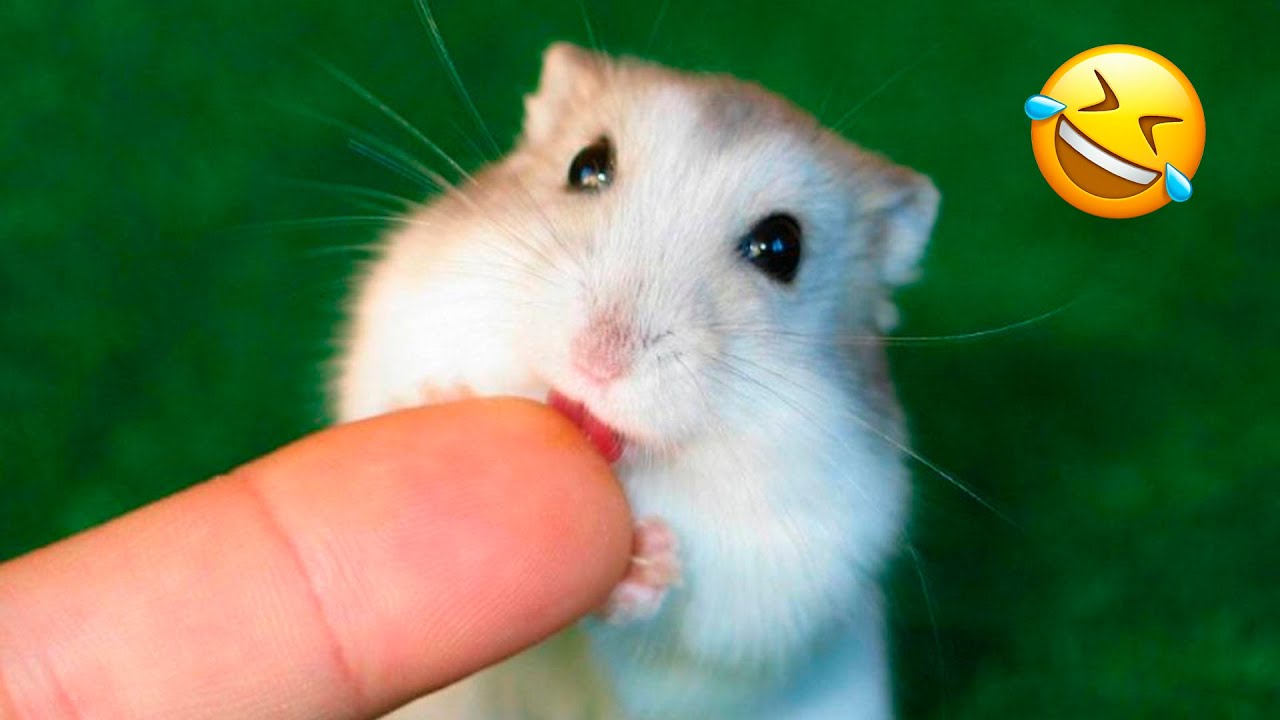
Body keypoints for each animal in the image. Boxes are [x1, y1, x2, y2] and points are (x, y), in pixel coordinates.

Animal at [335, 42, 939, 720]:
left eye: (782, 247)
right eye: (587, 165)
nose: (598, 360)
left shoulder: (791, 576)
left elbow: (684, 633)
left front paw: (648, 560)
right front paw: (440, 399)